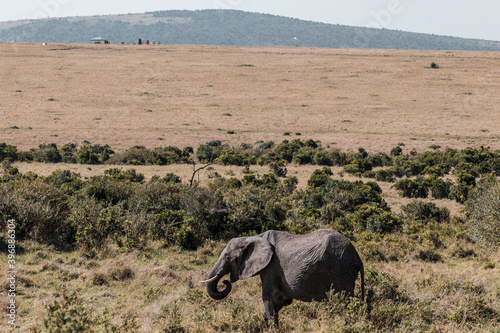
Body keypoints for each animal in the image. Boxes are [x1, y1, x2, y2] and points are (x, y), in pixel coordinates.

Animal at [199, 228, 364, 324]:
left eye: (228, 258)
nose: (225, 282)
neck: (254, 237)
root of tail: (357, 258)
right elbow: (279, 301)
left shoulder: (271, 266)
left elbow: (267, 298)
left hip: (340, 271)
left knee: (343, 303)